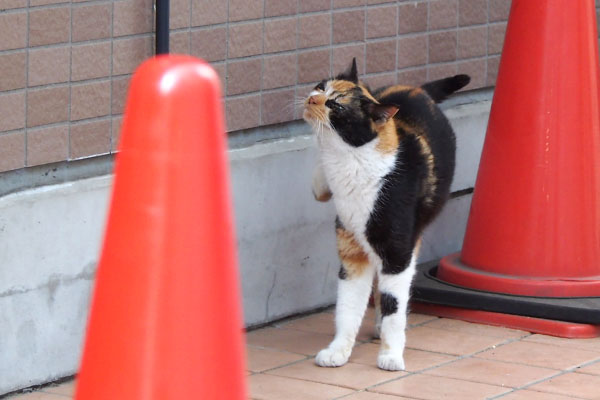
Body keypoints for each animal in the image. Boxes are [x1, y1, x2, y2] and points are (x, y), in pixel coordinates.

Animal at [304, 57, 468, 370]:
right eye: (320, 86)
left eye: (336, 105)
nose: (311, 98)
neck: (348, 161)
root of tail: (417, 89)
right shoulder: (352, 253)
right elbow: (347, 307)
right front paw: (338, 351)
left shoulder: (397, 253)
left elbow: (394, 305)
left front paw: (391, 355)